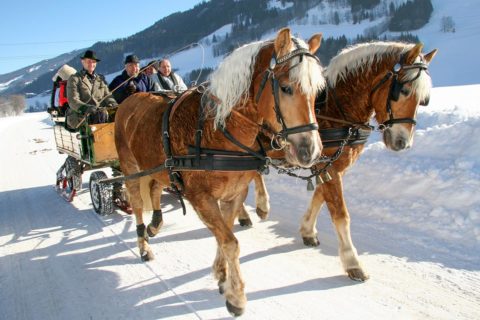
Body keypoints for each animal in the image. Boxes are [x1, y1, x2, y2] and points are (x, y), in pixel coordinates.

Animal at [114, 28, 326, 316]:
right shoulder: (201, 198)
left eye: (317, 90)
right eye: (285, 87)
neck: (216, 129)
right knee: (137, 203)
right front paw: (236, 297)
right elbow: (230, 242)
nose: (310, 151)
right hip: (131, 168)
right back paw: (144, 245)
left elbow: (223, 235)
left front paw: (221, 274)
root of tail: (129, 100)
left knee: (156, 187)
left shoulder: (235, 193)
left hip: (158, 167)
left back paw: (155, 225)